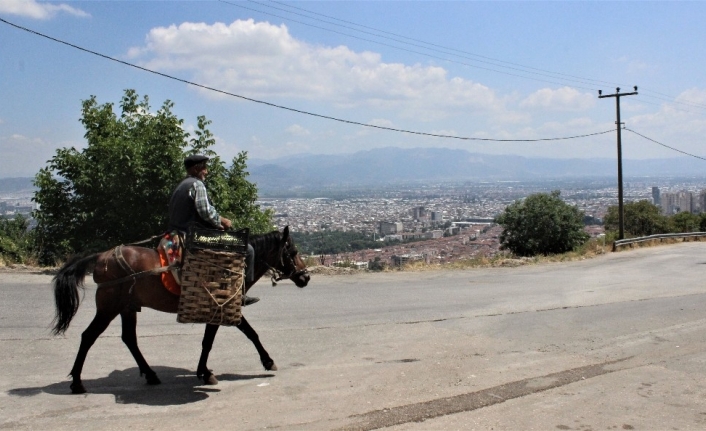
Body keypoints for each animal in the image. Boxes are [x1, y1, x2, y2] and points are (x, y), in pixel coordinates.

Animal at [51, 226, 310, 394]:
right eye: (293, 252)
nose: (306, 277)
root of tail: (101, 257)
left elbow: (214, 340)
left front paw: (203, 371)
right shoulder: (224, 307)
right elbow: (242, 335)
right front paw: (266, 361)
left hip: (127, 307)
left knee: (129, 339)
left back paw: (150, 374)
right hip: (108, 307)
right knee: (88, 336)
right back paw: (77, 382)